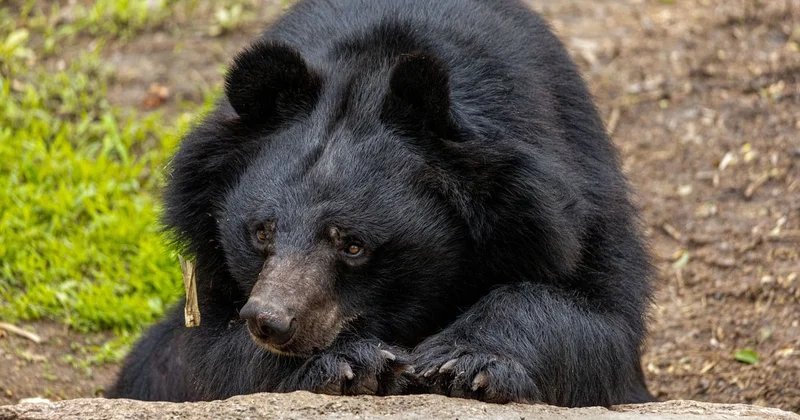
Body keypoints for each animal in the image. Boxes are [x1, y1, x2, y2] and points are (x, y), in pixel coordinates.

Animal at [108, 0, 656, 407]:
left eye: (353, 245)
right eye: (261, 232)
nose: (269, 321)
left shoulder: (570, 198)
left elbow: (597, 323)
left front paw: (463, 362)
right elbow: (212, 356)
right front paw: (355, 362)